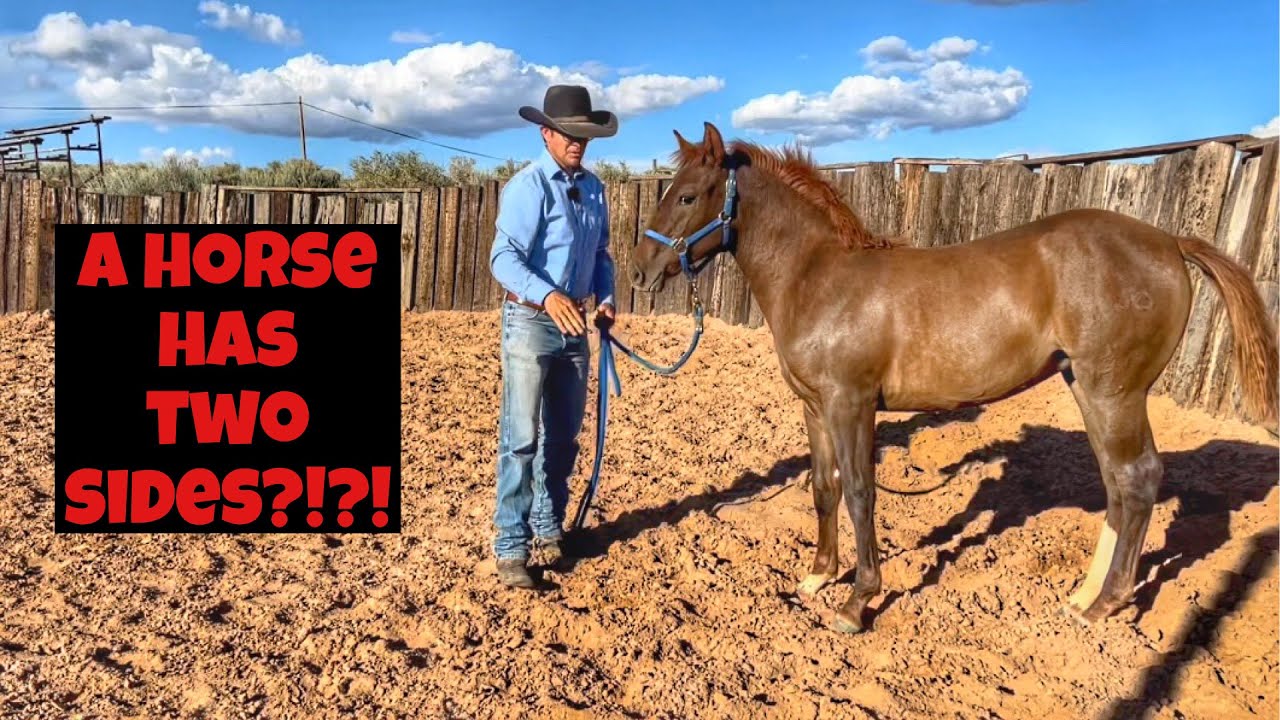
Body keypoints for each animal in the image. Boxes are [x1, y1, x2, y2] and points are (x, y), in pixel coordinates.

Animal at [628, 122, 1278, 634]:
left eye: (687, 196)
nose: (639, 271)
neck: (820, 278)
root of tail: (1169, 241)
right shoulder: (814, 407)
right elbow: (823, 487)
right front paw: (817, 578)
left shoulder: (850, 404)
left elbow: (860, 493)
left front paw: (857, 602)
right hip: (1090, 390)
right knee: (1119, 486)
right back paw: (1083, 596)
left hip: (1114, 392)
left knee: (1138, 480)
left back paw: (1104, 607)